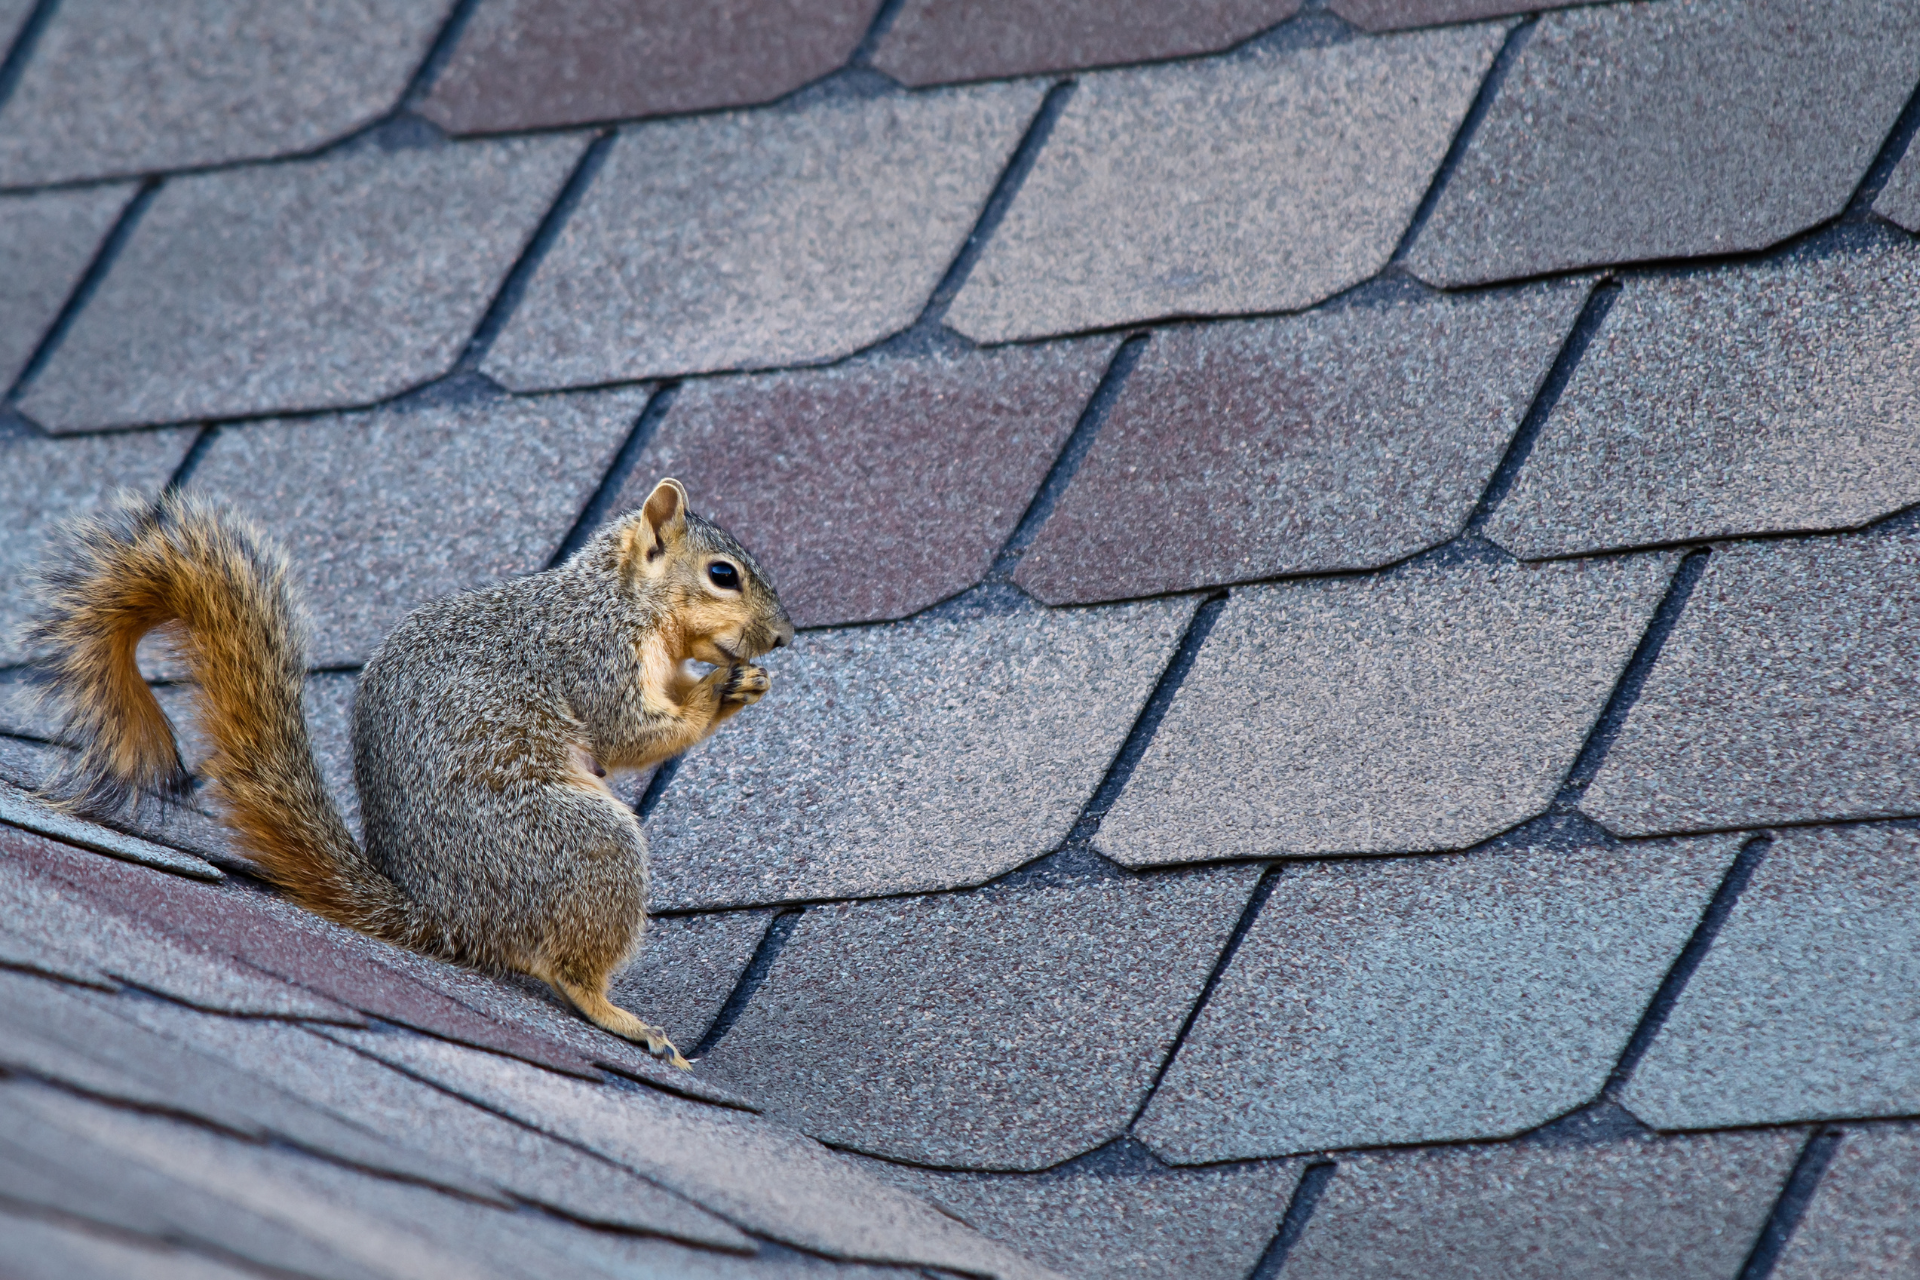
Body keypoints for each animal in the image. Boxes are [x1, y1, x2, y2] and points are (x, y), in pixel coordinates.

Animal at [24, 475, 787, 1066]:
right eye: (723, 574)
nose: (782, 637)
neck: (621, 599)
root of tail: (444, 917)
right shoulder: (591, 656)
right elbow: (630, 732)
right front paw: (719, 693)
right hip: (582, 842)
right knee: (569, 969)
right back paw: (619, 1016)